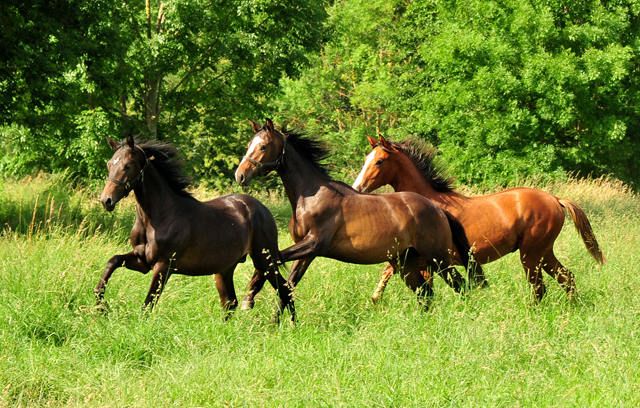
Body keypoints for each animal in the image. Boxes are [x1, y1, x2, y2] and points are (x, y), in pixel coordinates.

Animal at [96, 135, 292, 318]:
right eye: (108, 164)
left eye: (127, 165)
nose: (106, 200)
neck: (158, 217)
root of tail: (263, 210)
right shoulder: (142, 261)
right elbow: (112, 262)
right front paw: (101, 306)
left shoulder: (163, 266)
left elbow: (147, 305)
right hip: (225, 269)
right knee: (230, 302)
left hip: (264, 260)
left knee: (285, 289)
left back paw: (285, 324)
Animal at [234, 118, 480, 318]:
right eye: (249, 145)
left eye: (263, 146)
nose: (240, 175)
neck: (311, 196)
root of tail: (438, 209)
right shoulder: (306, 253)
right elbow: (287, 286)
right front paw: (274, 324)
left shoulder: (314, 244)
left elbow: (269, 263)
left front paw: (248, 299)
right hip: (406, 262)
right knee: (425, 293)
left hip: (438, 258)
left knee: (460, 285)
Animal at [352, 135, 608, 302]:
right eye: (365, 159)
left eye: (379, 161)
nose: (358, 189)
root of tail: (555, 199)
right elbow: (408, 281)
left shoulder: (430, 257)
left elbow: (395, 274)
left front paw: (376, 300)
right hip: (544, 252)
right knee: (567, 278)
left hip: (531, 254)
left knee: (539, 288)